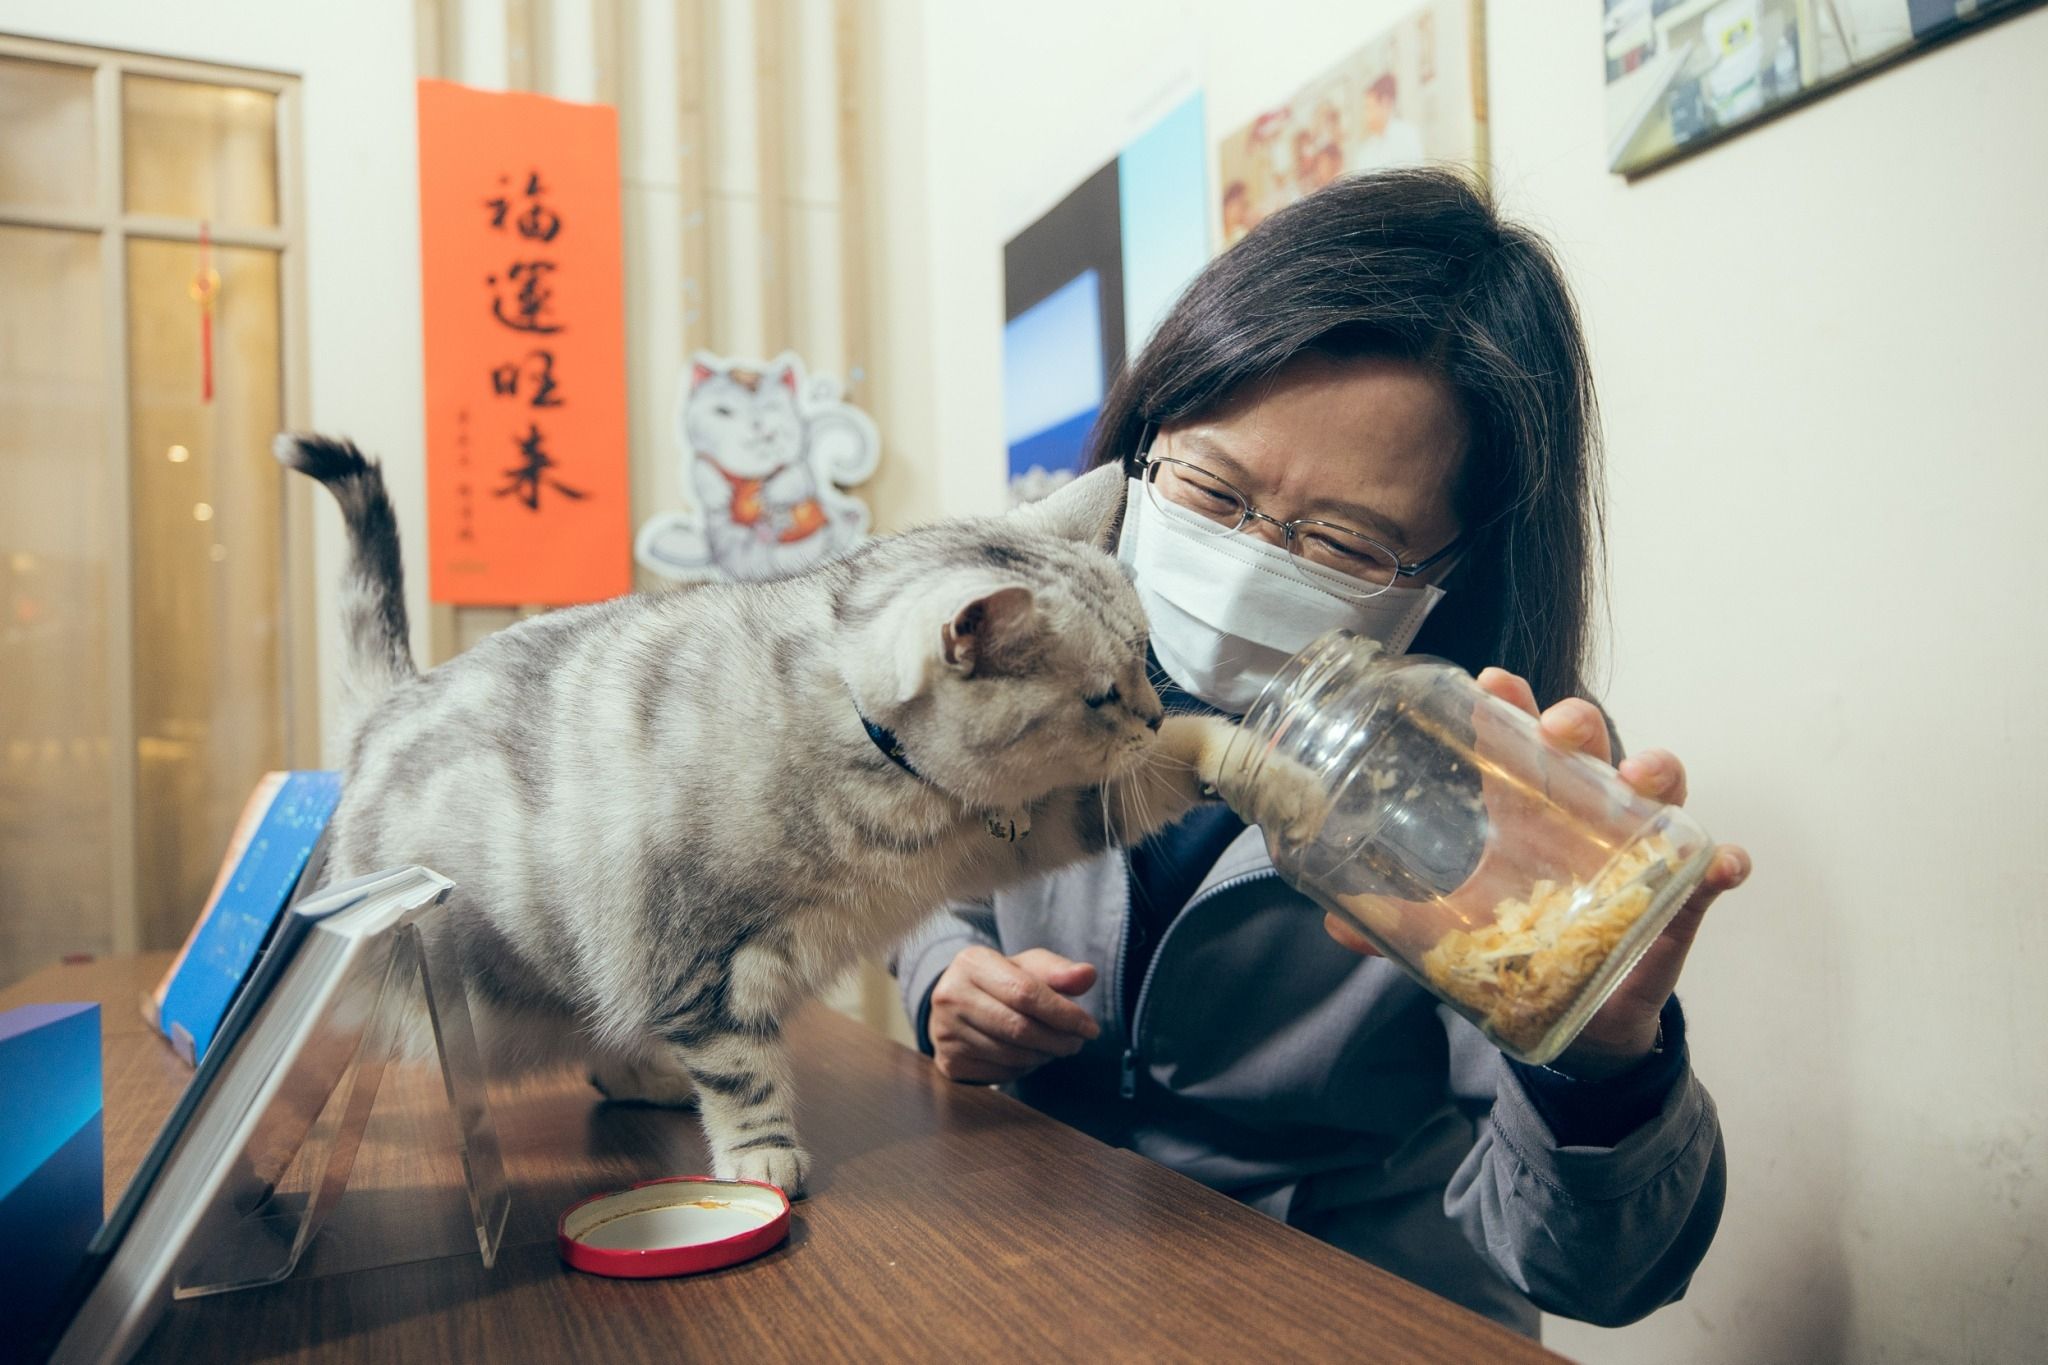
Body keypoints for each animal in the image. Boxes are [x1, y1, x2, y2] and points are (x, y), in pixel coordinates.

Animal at [272, 437, 1228, 1195]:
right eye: (1102, 694)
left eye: (1145, 658)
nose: (1151, 716)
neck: (903, 799)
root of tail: (394, 697)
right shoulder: (704, 965)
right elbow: (744, 1074)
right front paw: (762, 1158)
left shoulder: (1015, 835)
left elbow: (1141, 792)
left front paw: (1235, 749)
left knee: (605, 1030)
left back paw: (643, 1072)